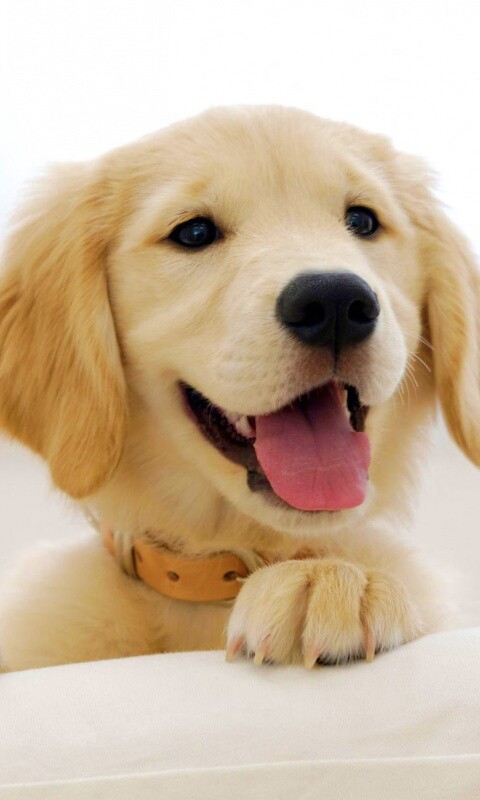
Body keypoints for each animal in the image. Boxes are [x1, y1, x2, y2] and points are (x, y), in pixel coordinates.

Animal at [0, 106, 478, 672]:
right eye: (193, 232)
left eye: (363, 221)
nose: (335, 303)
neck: (220, 575)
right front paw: (326, 577)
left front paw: (331, 578)